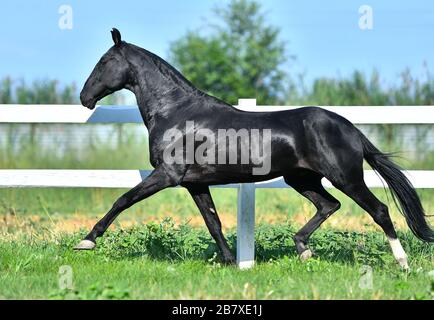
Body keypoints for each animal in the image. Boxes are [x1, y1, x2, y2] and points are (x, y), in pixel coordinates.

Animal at [76, 28, 432, 268]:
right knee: (328, 205)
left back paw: (402, 262)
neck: (176, 111)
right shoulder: (195, 183)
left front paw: (87, 241)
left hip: (346, 177)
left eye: (105, 61)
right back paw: (303, 248)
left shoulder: (168, 174)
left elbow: (123, 199)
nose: (84, 97)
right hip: (301, 179)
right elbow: (213, 222)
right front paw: (230, 261)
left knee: (379, 211)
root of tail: (350, 128)